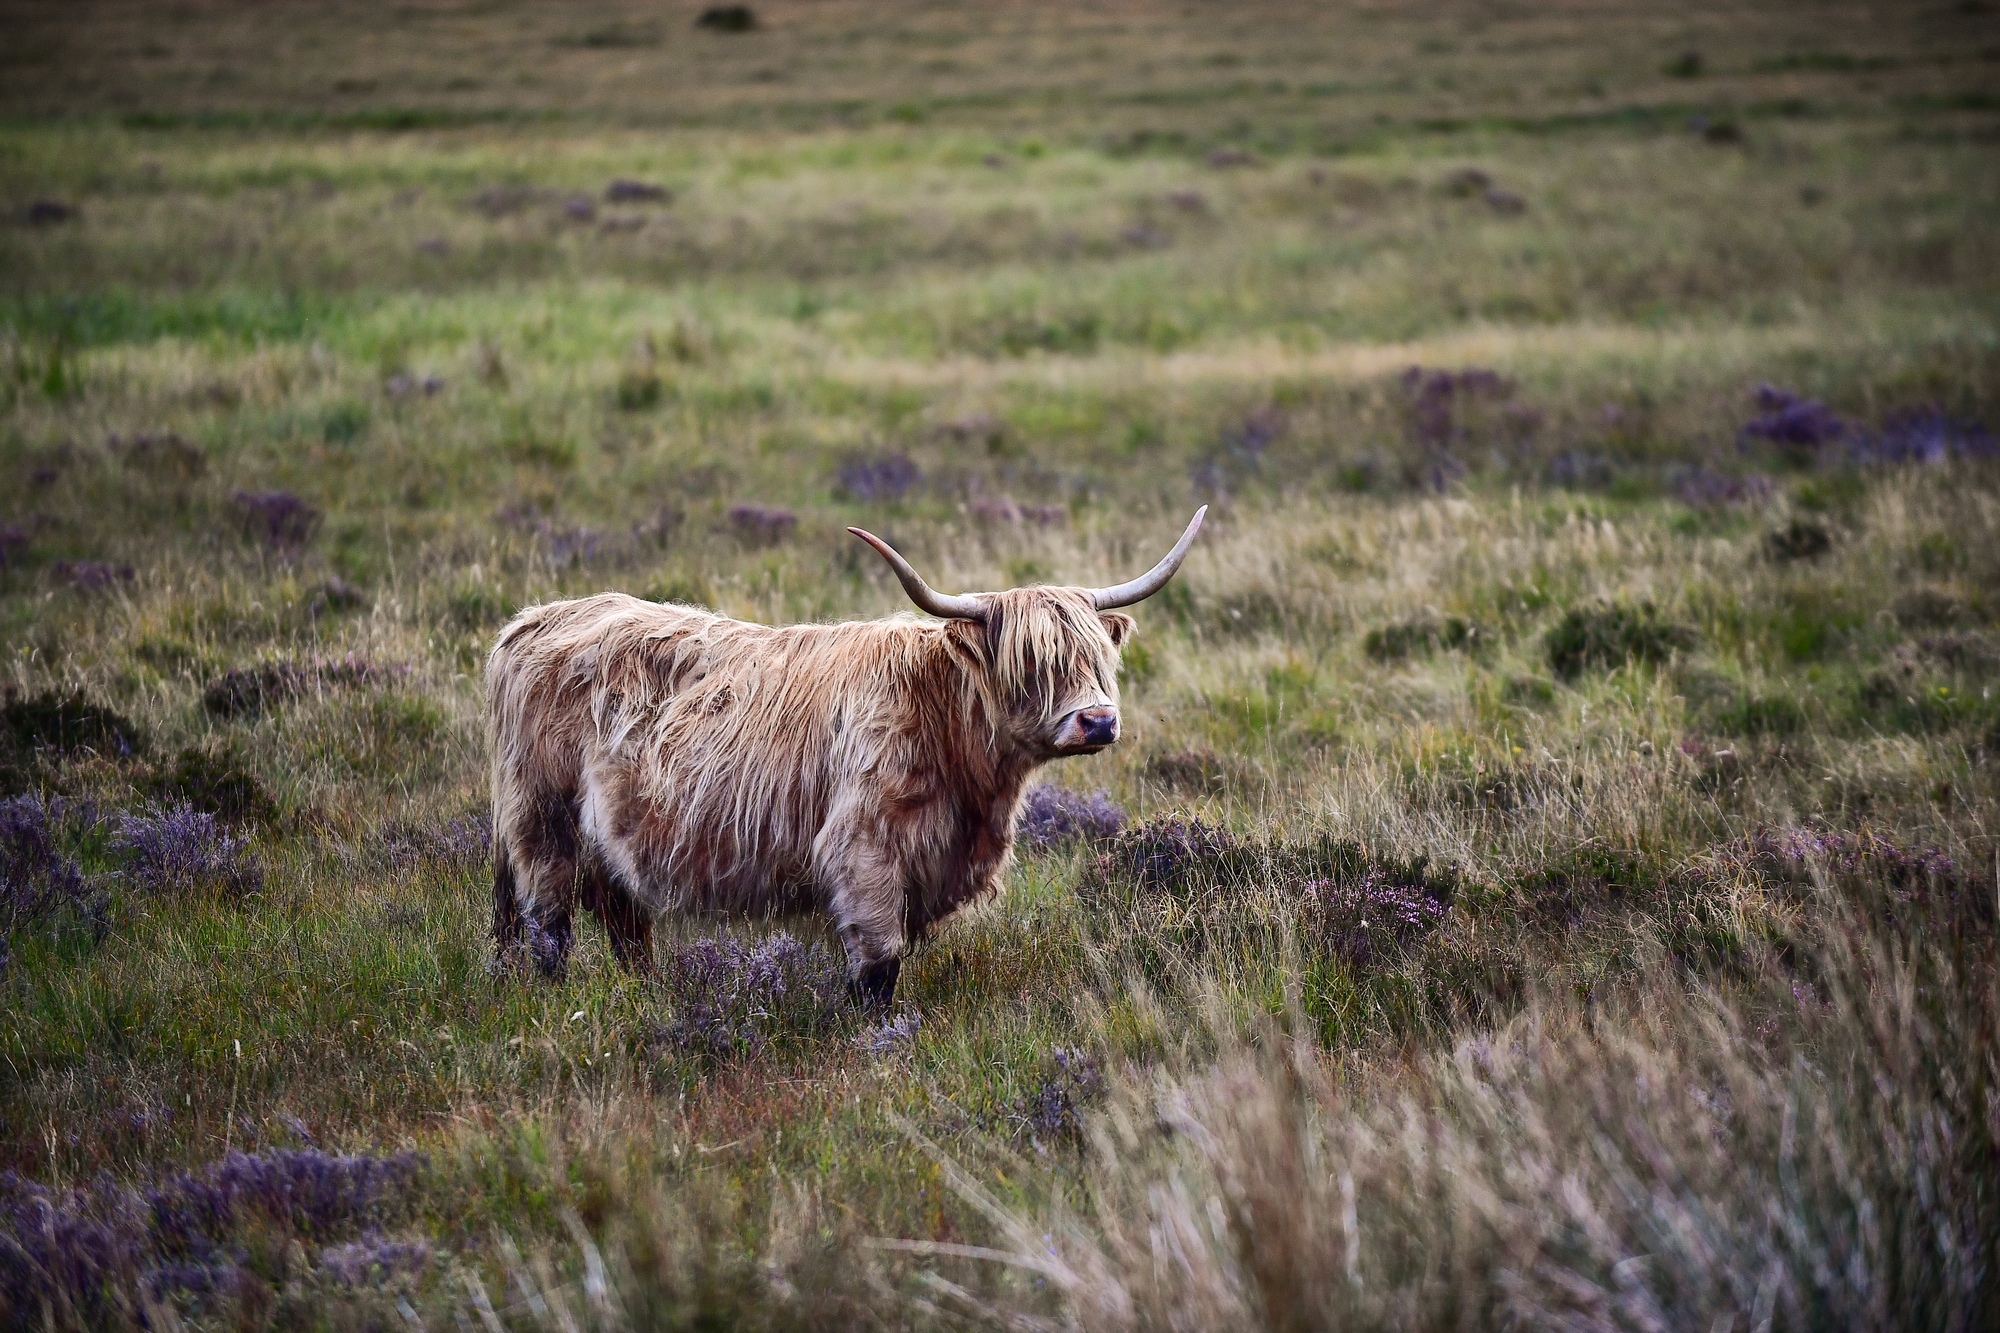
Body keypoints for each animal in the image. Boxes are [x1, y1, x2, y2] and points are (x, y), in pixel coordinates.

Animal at [484, 508, 1200, 996]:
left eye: (1099, 658)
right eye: (1031, 663)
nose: (1098, 722)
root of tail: (533, 620)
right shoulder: (865, 852)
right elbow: (878, 969)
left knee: (624, 921)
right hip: (542, 817)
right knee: (548, 922)